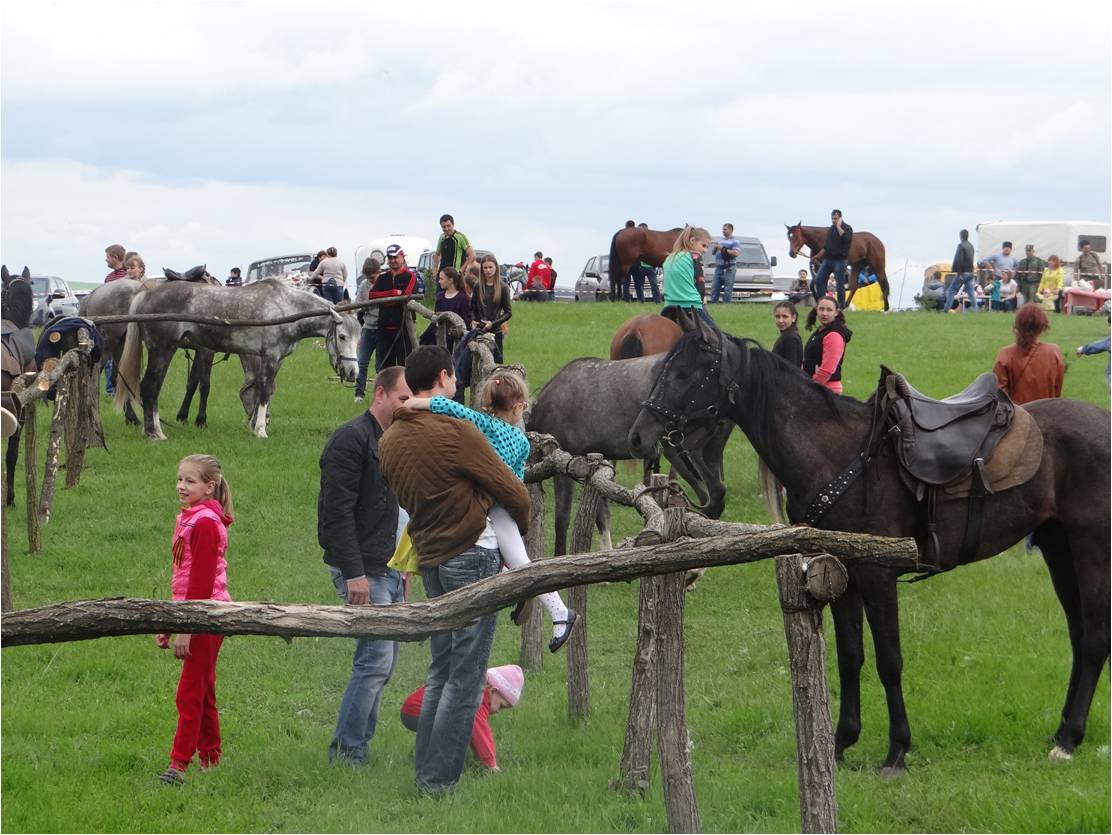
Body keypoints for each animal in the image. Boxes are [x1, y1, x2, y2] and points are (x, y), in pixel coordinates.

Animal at [113, 277, 355, 440]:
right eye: (342, 336)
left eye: (358, 337)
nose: (353, 373)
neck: (286, 308)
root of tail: (147, 294)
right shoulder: (270, 356)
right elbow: (264, 392)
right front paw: (260, 430)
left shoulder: (273, 360)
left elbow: (263, 391)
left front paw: (255, 424)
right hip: (162, 351)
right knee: (149, 387)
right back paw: (154, 433)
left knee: (153, 389)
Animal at [527, 353, 729, 555]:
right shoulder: (596, 466)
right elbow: (602, 516)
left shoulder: (567, 466)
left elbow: (562, 519)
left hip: (679, 451)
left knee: (713, 495)